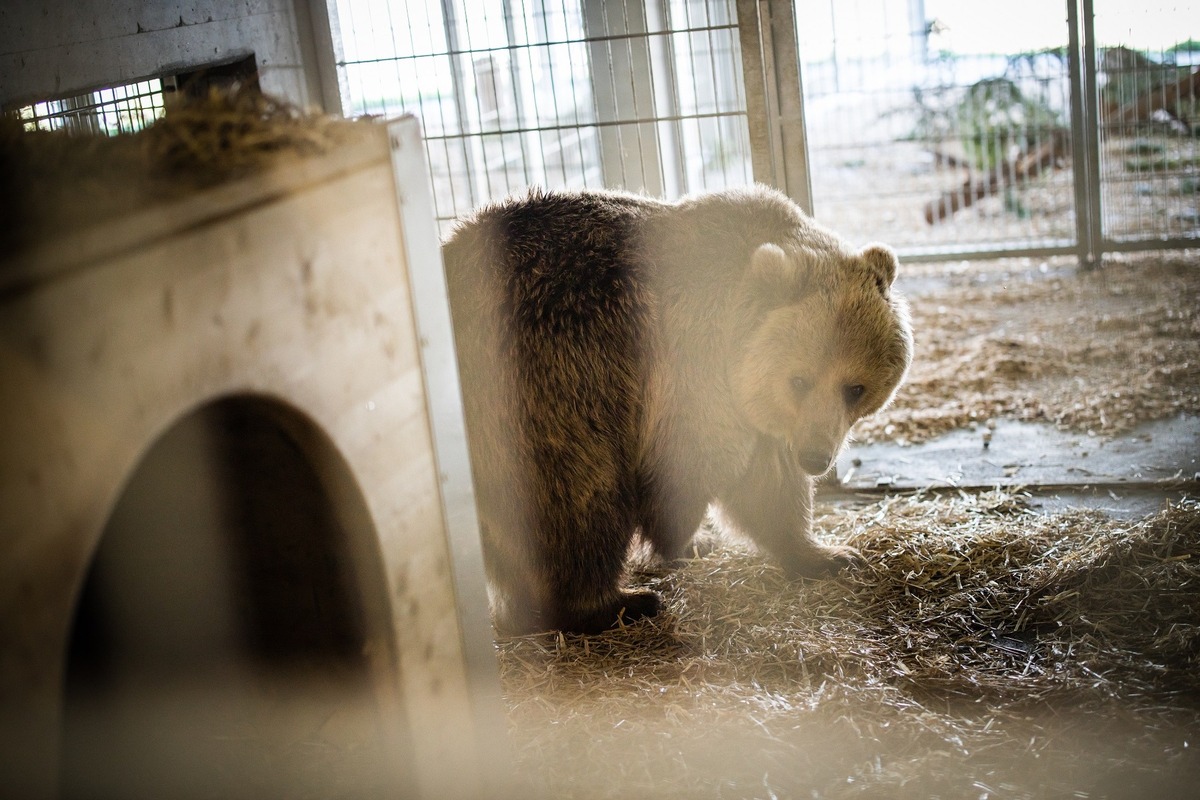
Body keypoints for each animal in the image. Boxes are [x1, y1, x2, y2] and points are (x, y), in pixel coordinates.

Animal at [441, 184, 907, 633]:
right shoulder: (692, 362)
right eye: (799, 380)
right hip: (540, 383)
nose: (815, 457)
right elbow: (696, 466)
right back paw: (618, 603)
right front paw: (682, 537)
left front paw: (828, 554)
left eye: (855, 388)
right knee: (579, 493)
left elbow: (771, 484)